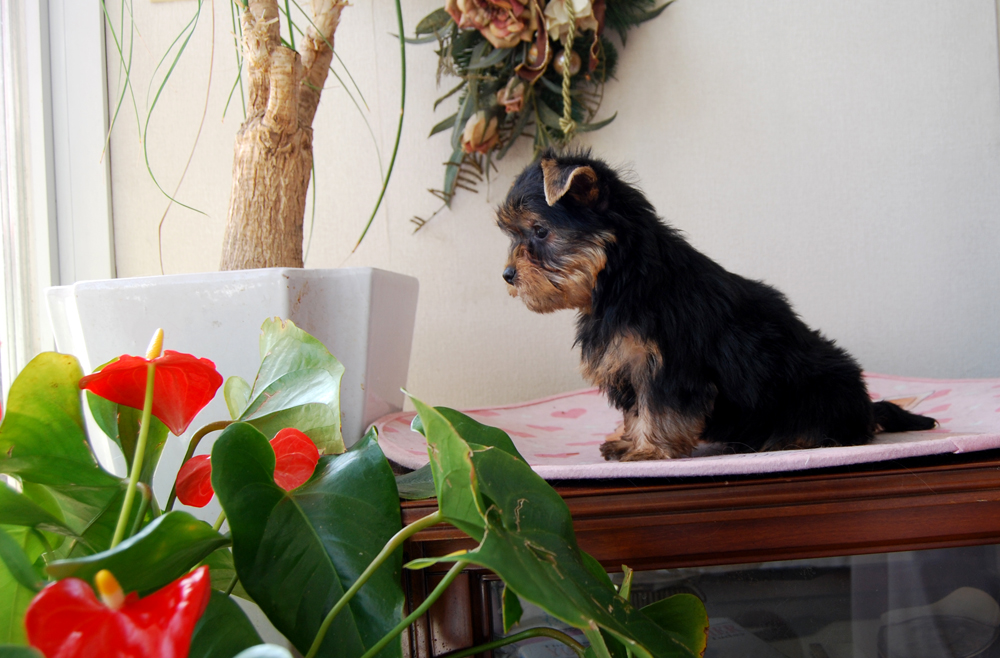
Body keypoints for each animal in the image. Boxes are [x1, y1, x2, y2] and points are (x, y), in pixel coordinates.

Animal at [497, 150, 936, 461]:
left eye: (540, 231)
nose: (507, 275)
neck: (624, 281)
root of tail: (864, 408)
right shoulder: (630, 361)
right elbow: (636, 407)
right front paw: (628, 439)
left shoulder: (667, 364)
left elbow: (659, 405)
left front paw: (648, 448)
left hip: (821, 389)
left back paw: (796, 439)